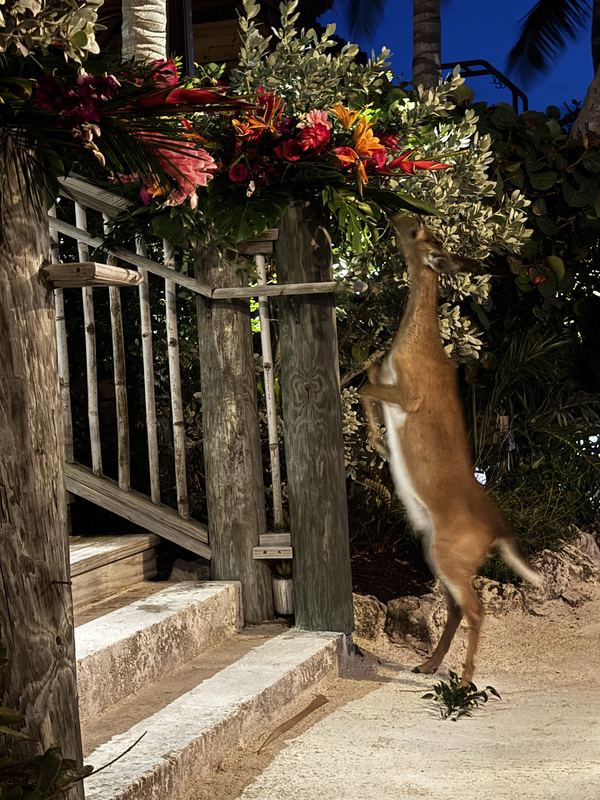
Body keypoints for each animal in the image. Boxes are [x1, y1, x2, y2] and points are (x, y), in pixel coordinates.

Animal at [359, 214, 543, 685]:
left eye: (416, 234)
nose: (396, 216)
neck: (417, 343)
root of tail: (498, 532)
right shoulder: (392, 386)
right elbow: (368, 378)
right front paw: (378, 443)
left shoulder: (408, 394)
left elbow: (365, 384)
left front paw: (377, 443)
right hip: (437, 554)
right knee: (459, 609)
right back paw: (429, 664)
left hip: (450, 555)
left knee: (476, 610)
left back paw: (463, 680)